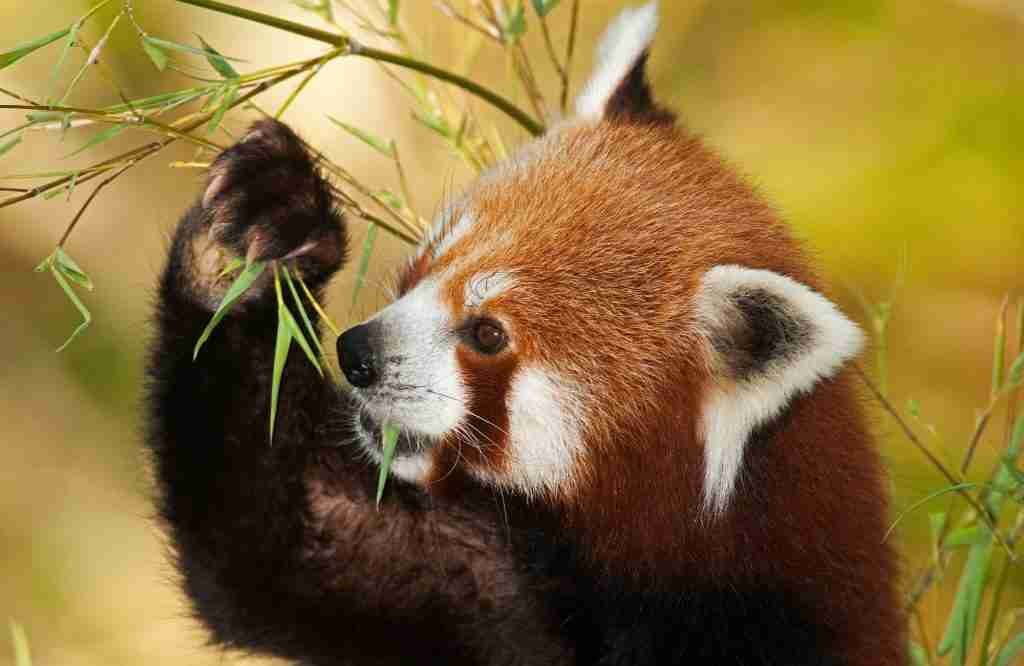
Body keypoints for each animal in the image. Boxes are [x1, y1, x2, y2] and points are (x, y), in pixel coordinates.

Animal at [146, 2, 905, 659]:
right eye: (427, 261)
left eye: (487, 334)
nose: (357, 353)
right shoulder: (499, 588)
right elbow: (287, 555)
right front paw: (256, 234)